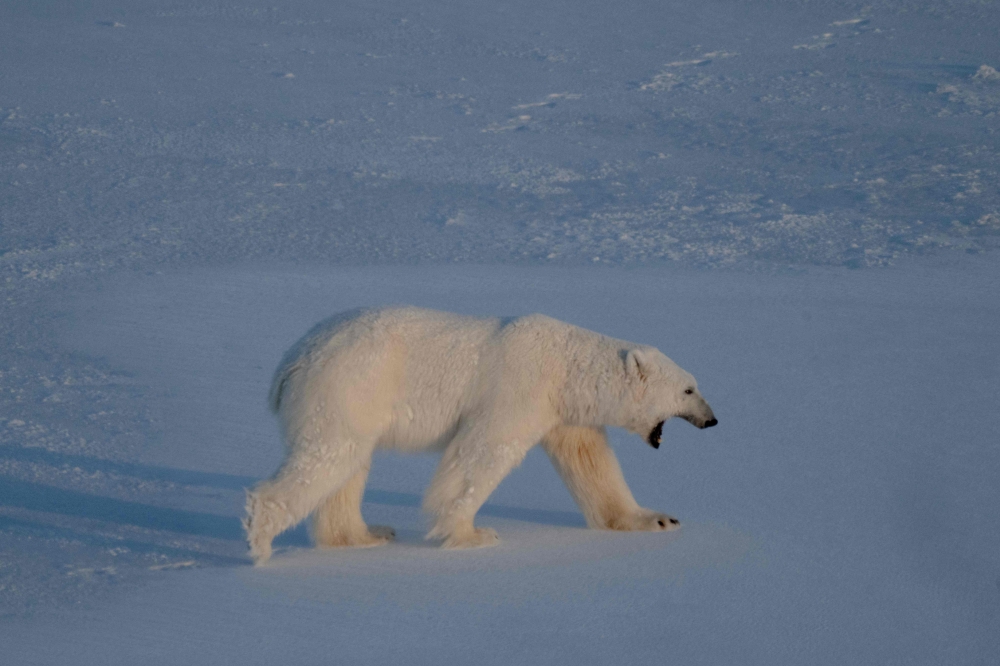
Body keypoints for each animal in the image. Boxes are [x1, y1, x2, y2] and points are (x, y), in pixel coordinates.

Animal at [244, 306, 717, 564]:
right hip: (349, 386)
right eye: (689, 390)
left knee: (348, 466)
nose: (712, 420)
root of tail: (291, 360)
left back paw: (365, 534)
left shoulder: (565, 412)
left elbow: (590, 462)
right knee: (328, 455)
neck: (566, 366)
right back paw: (260, 539)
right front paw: (472, 534)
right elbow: (483, 451)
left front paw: (658, 519)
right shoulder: (519, 387)